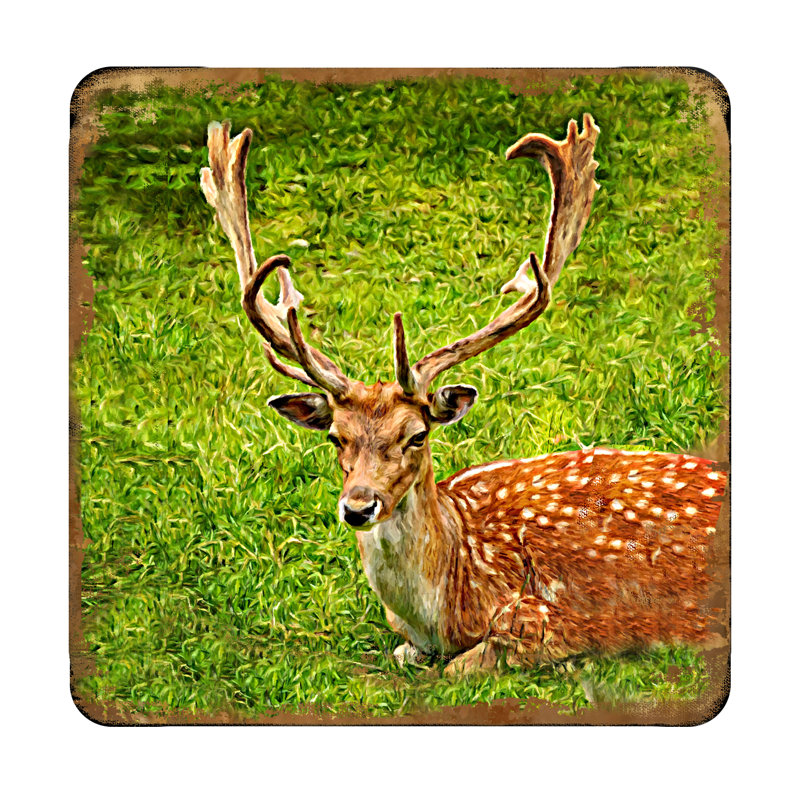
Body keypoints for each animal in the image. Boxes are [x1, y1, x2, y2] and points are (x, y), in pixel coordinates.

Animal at [200, 114, 727, 675]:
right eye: (336, 438)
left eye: (416, 435)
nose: (358, 506)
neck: (446, 610)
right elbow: (404, 655)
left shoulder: (550, 619)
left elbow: (459, 669)